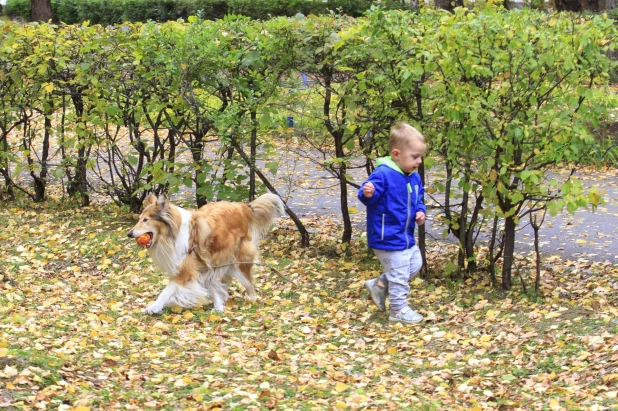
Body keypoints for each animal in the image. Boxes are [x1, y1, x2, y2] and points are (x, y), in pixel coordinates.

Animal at [130, 195, 284, 314]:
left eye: (146, 220)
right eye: (140, 218)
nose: (129, 234)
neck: (172, 234)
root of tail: (241, 206)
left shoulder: (186, 271)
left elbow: (167, 291)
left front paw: (153, 307)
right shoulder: (202, 266)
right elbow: (211, 286)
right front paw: (218, 305)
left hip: (240, 259)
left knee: (248, 282)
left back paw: (251, 299)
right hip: (218, 259)